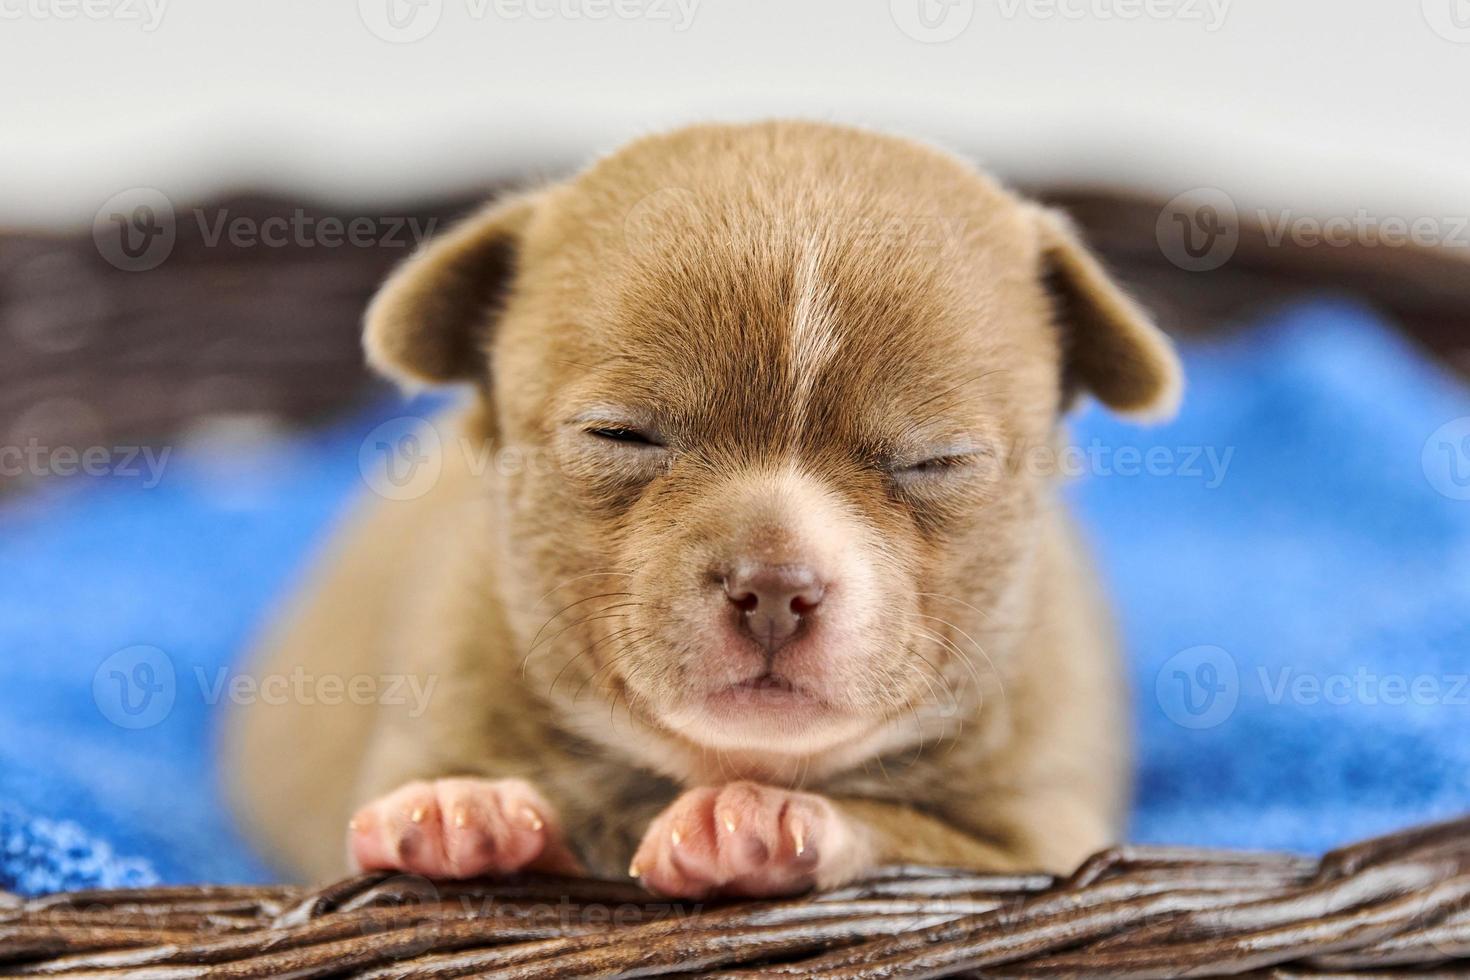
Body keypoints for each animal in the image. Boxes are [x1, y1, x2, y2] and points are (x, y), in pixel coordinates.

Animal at [220, 120, 1181, 899]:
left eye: (936, 461)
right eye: (621, 435)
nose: (775, 586)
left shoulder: (1045, 842)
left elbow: (916, 838)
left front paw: (761, 825)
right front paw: (468, 810)